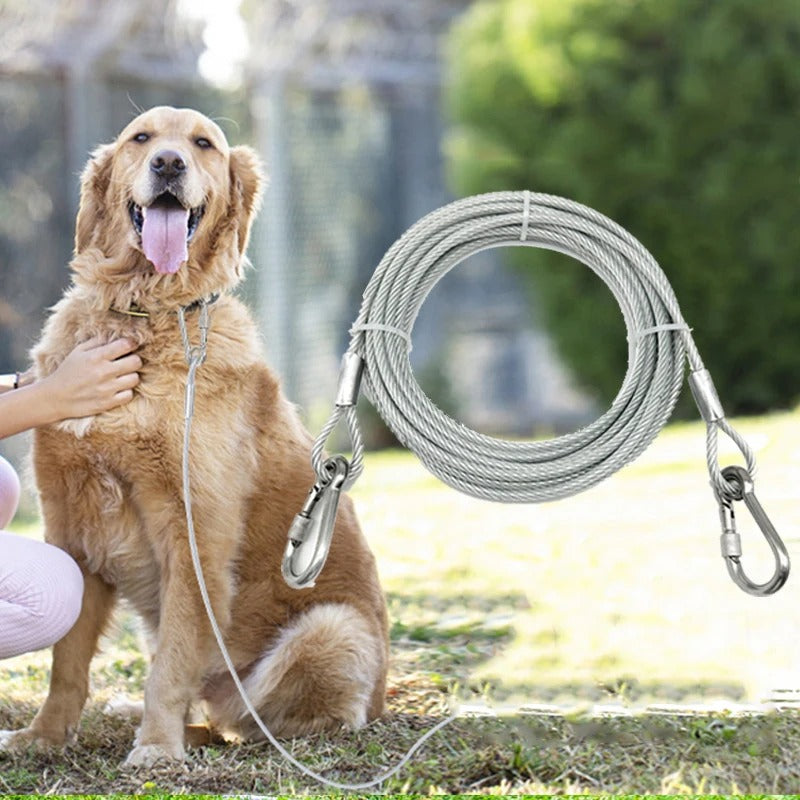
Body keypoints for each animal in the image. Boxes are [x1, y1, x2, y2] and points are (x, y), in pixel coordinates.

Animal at [0, 104, 388, 764]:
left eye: (204, 144)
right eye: (141, 138)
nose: (169, 163)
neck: (144, 310)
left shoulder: (194, 536)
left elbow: (173, 661)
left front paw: (156, 747)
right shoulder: (71, 527)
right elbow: (67, 662)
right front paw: (44, 736)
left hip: (329, 630)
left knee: (250, 718)